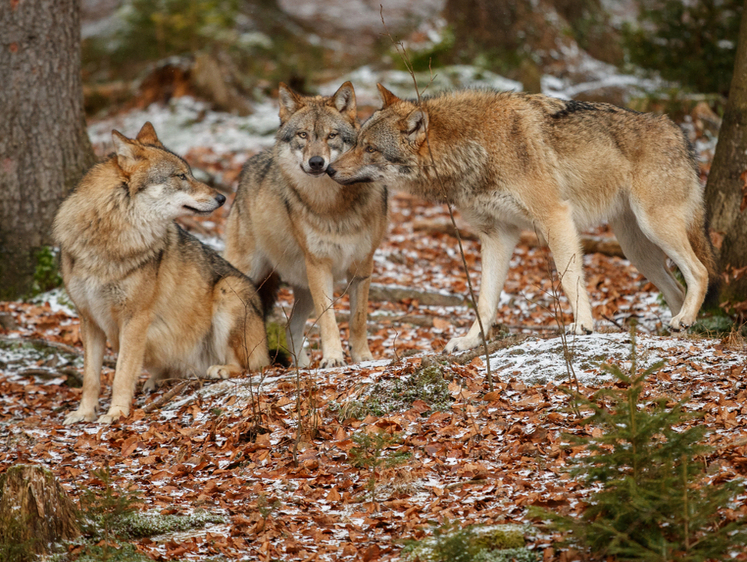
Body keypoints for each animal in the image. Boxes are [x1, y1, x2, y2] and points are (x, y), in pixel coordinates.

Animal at [55, 121, 272, 420]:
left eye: (190, 173)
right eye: (181, 176)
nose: (222, 197)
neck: (110, 237)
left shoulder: (135, 318)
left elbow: (122, 373)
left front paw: (116, 413)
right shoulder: (89, 319)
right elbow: (91, 377)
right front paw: (85, 413)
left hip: (229, 290)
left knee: (251, 366)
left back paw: (220, 369)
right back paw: (157, 380)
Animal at [224, 81, 388, 366]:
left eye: (332, 136)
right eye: (302, 135)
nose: (316, 162)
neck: (332, 206)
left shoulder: (362, 265)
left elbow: (358, 320)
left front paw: (363, 357)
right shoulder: (319, 265)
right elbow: (329, 320)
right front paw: (333, 359)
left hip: (303, 287)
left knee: (291, 327)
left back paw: (301, 367)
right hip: (248, 276)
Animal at [328, 85, 720, 350]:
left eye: (370, 148)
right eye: (356, 141)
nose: (328, 169)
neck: (474, 147)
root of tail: (680, 132)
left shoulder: (555, 218)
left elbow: (570, 279)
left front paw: (584, 325)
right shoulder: (497, 235)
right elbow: (485, 301)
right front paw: (470, 341)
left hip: (655, 227)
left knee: (700, 271)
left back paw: (684, 319)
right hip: (636, 249)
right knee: (676, 287)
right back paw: (677, 328)